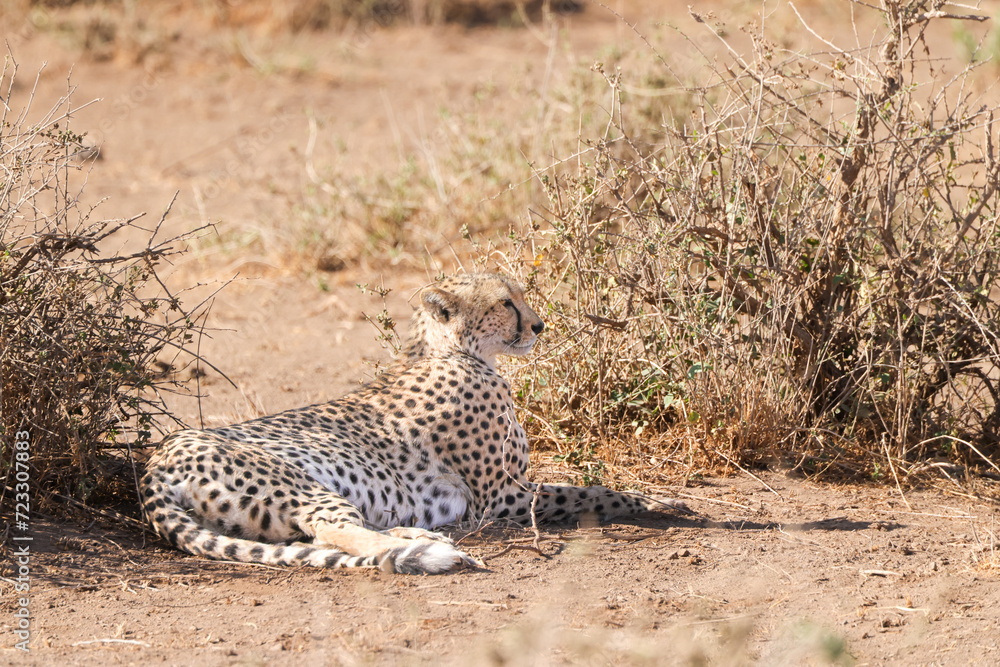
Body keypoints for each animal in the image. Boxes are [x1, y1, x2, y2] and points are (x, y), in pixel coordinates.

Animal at [139, 272, 686, 575]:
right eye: (504, 303)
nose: (539, 326)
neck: (453, 352)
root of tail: (156, 461)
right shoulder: (499, 496)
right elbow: (593, 492)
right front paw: (663, 504)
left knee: (323, 535)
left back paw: (424, 537)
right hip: (295, 480)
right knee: (336, 529)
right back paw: (429, 551)